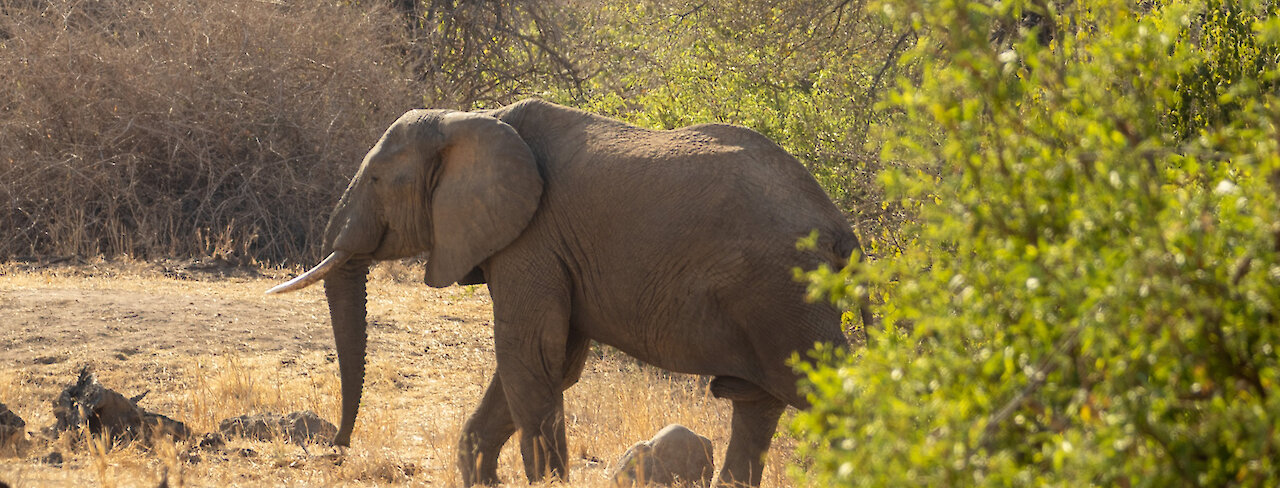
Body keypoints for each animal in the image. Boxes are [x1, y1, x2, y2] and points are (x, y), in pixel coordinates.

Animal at [267, 99, 864, 487]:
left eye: (374, 181)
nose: (335, 447)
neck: (474, 119)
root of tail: (841, 230)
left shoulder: (532, 237)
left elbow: (530, 355)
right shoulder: (551, 251)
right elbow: (548, 365)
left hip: (786, 298)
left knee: (830, 399)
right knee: (756, 406)